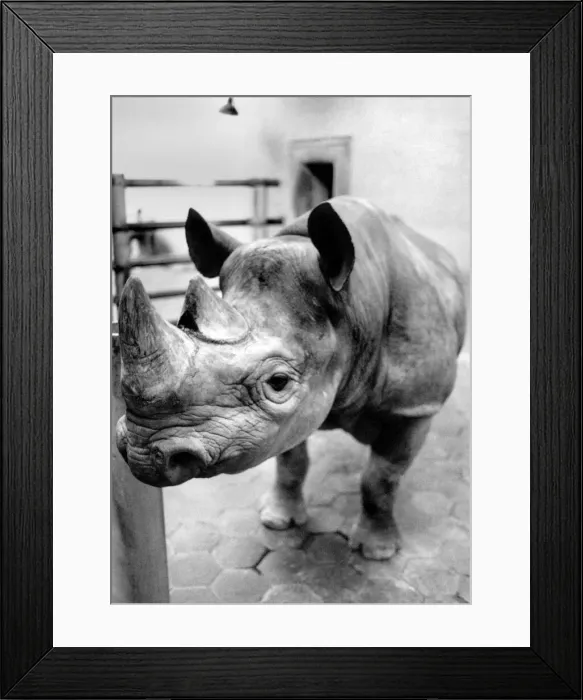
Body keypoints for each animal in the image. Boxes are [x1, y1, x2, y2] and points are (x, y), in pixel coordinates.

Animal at [116, 196, 466, 559]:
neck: (356, 304)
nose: (143, 455)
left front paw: (377, 552)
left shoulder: (414, 406)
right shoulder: (291, 416)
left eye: (279, 382)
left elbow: (380, 478)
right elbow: (291, 461)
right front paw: (278, 520)